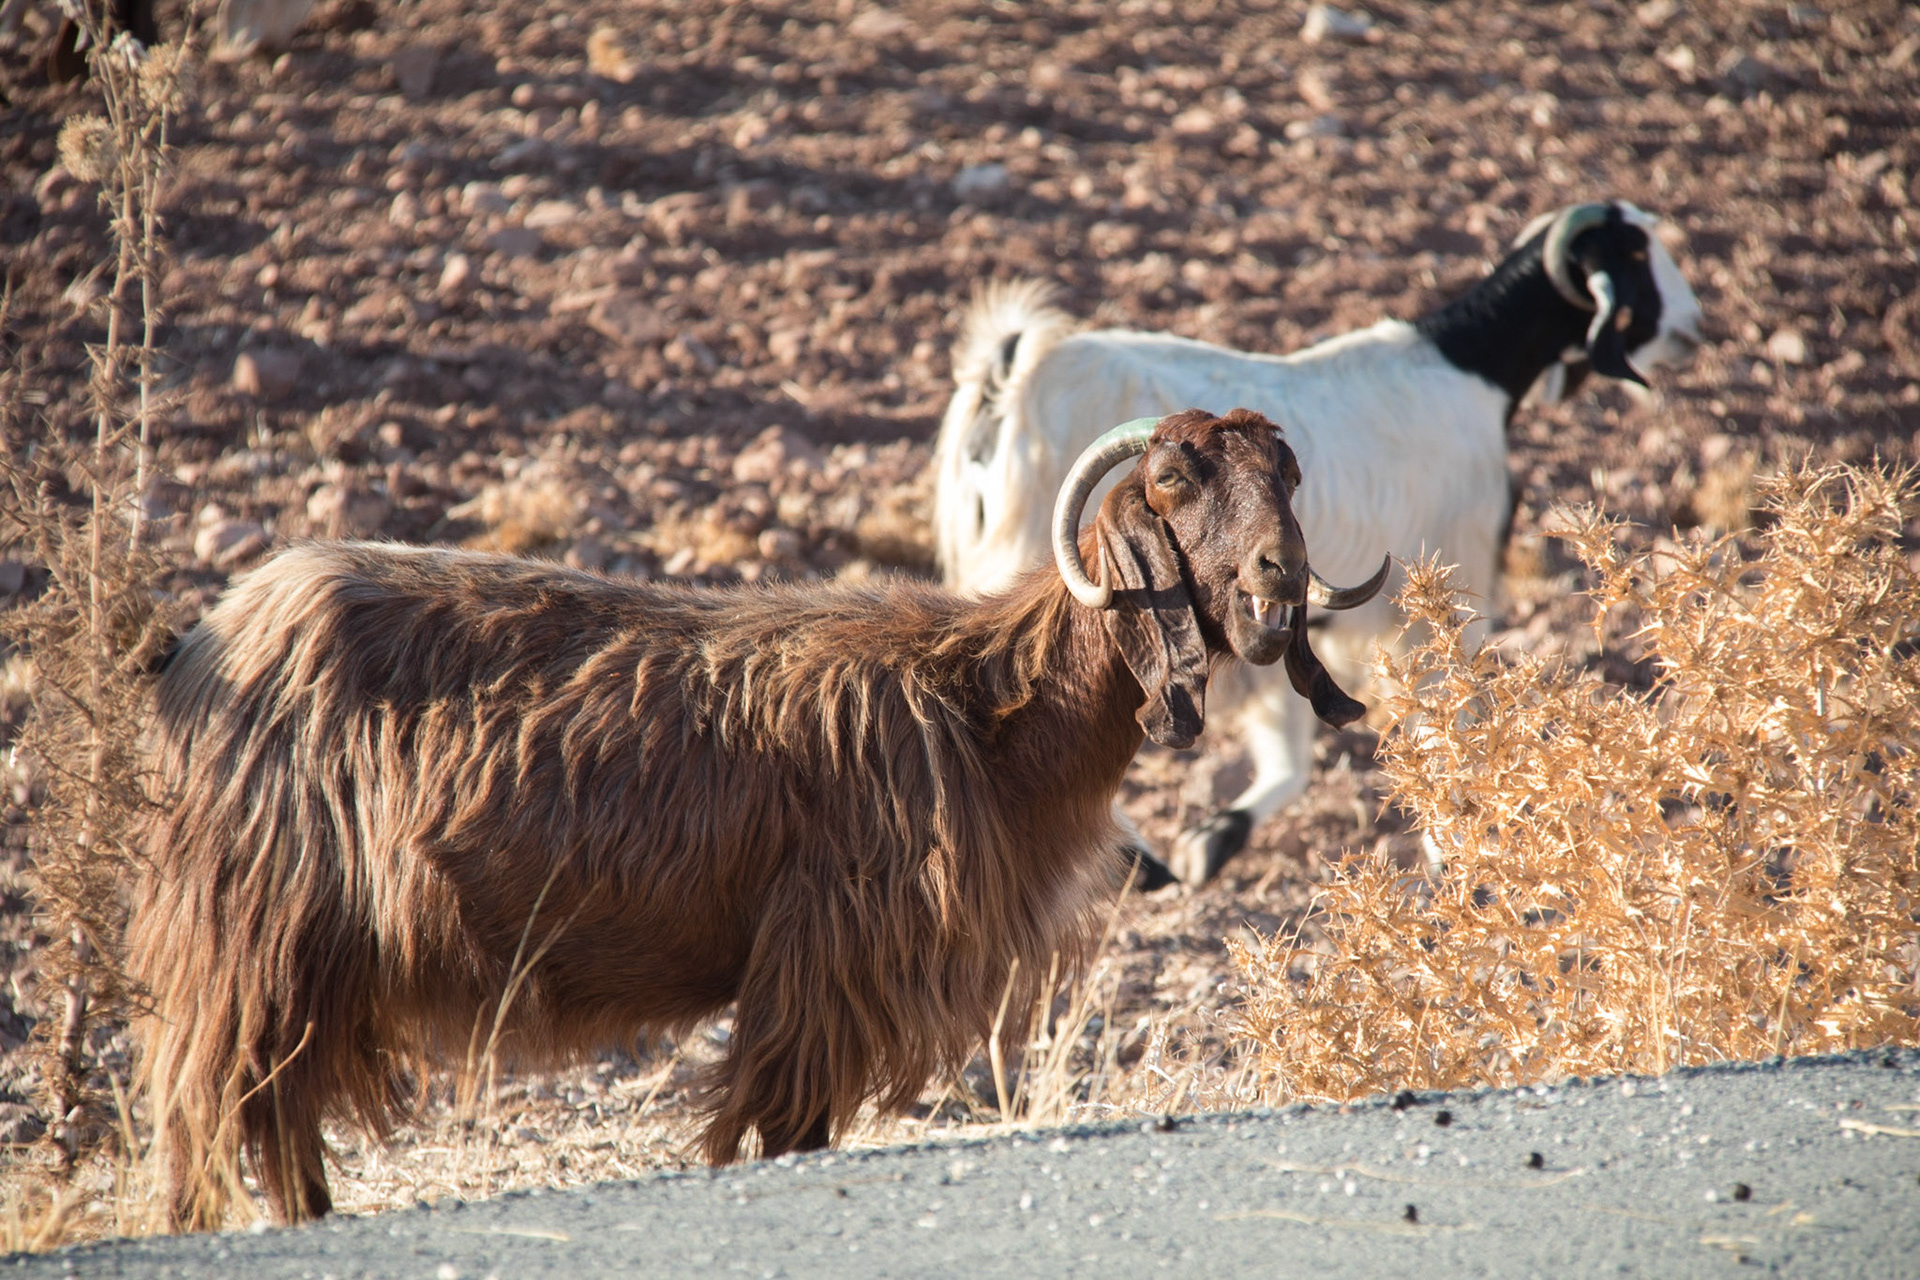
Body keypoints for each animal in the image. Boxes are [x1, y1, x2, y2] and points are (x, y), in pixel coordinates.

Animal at [128, 407, 1388, 1227]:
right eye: (1171, 482)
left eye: (1288, 474)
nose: (1277, 581)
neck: (983, 699)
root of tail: (205, 641)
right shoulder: (822, 969)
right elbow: (787, 1131)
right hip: (248, 932)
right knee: (216, 1107)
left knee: (274, 1110)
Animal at [933, 200, 1705, 886]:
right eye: (1636, 254)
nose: (1693, 327)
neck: (1467, 374)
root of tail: (1008, 382)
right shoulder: (1435, 600)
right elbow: (1439, 723)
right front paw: (1453, 859)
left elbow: (1294, 750)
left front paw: (1212, 843)